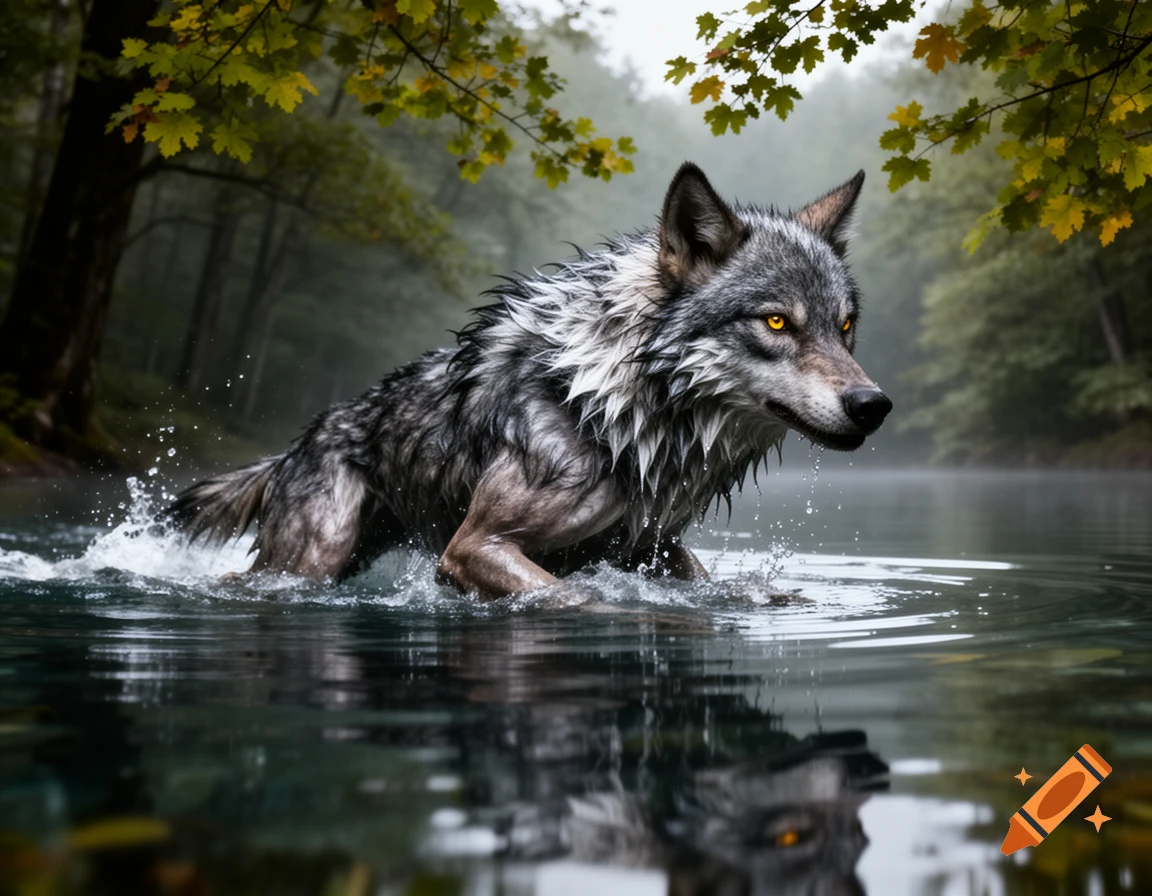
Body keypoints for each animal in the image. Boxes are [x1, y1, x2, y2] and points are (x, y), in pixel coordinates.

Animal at [167, 163, 891, 599]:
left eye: (846, 326)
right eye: (776, 321)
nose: (873, 405)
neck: (624, 412)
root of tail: (302, 440)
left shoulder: (656, 551)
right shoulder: (473, 547)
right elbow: (580, 600)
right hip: (310, 562)